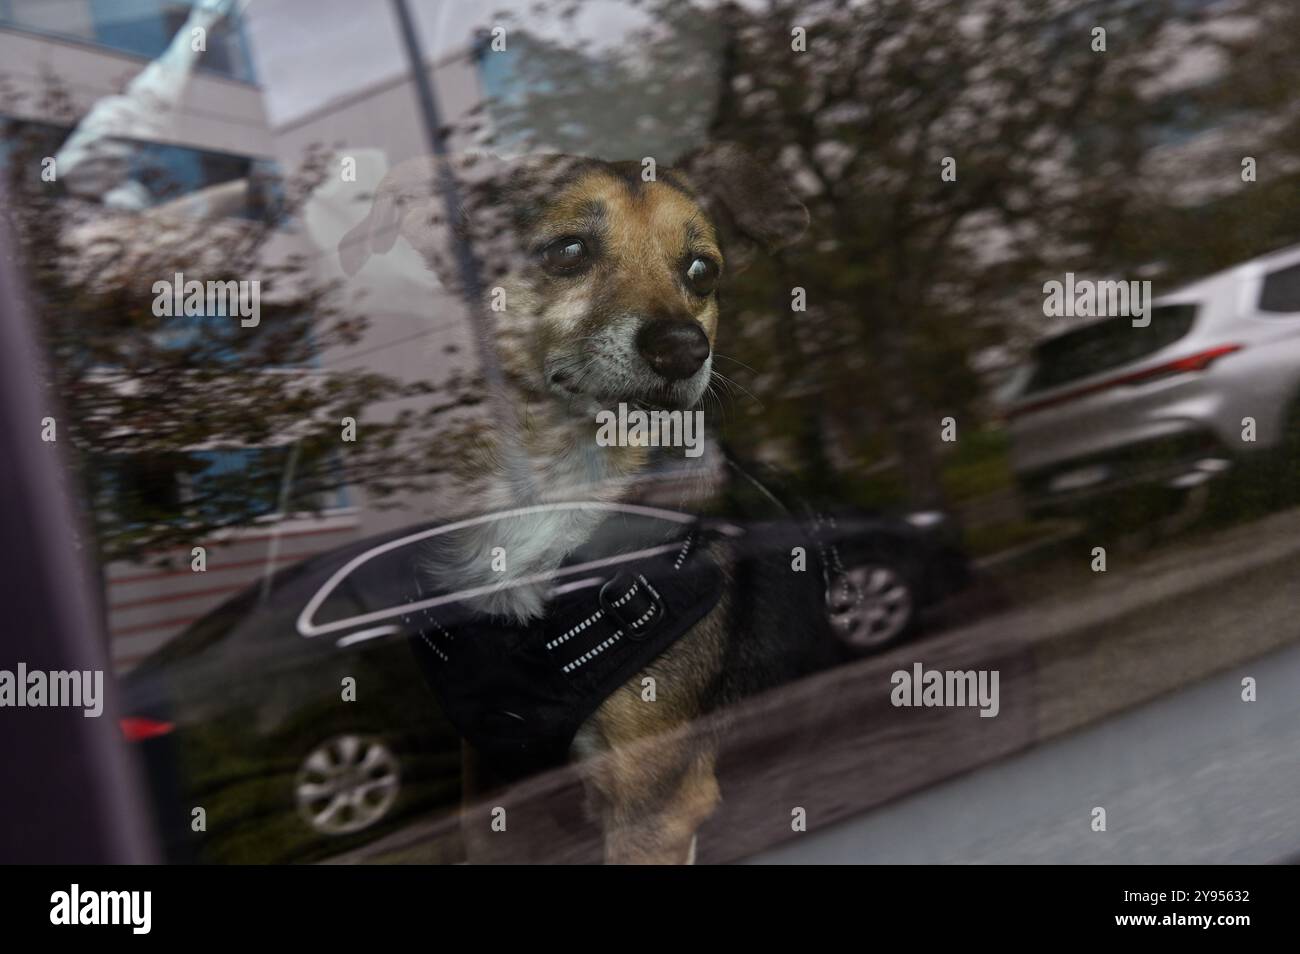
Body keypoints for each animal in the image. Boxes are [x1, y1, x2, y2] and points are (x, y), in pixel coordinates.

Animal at [340, 147, 816, 868]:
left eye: (701, 270)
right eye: (567, 250)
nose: (685, 349)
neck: (545, 491)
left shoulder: (653, 803)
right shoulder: (497, 798)